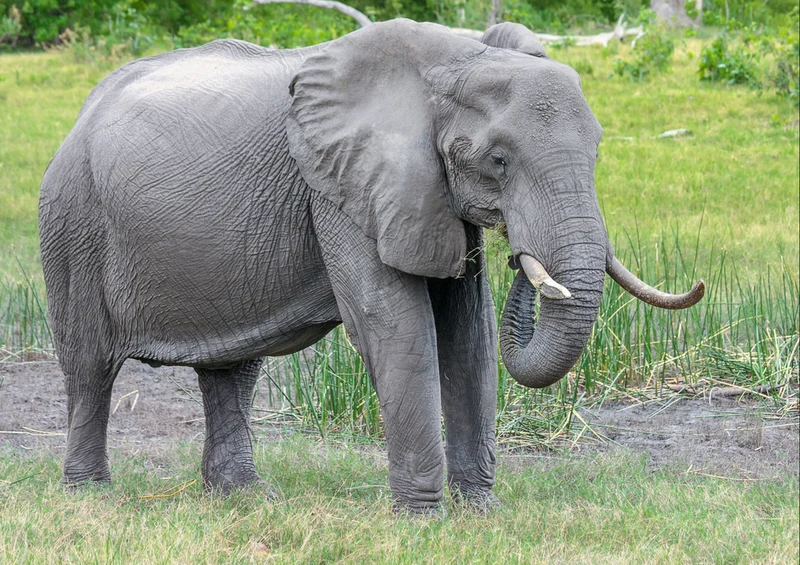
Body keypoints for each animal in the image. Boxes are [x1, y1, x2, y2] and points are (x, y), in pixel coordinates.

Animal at [39, 19, 703, 515]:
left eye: (597, 150)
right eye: (497, 160)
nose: (520, 256)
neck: (454, 58)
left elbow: (470, 332)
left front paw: (480, 514)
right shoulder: (338, 186)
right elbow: (394, 324)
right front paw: (424, 521)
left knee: (234, 367)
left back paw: (245, 498)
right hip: (74, 221)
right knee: (90, 365)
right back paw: (91, 496)